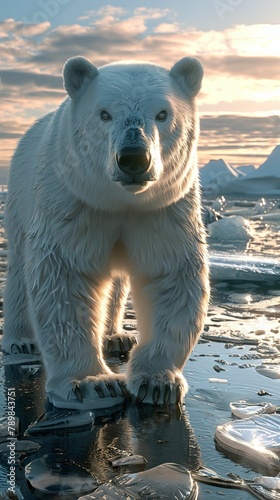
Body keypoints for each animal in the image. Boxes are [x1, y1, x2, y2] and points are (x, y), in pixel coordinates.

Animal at [2, 57, 209, 410]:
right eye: (104, 113)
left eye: (163, 113)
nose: (134, 158)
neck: (120, 200)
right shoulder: (73, 203)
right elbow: (64, 277)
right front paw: (93, 384)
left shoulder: (163, 208)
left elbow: (170, 273)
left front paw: (158, 382)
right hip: (19, 195)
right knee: (18, 268)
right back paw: (20, 341)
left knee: (116, 282)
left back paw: (116, 336)